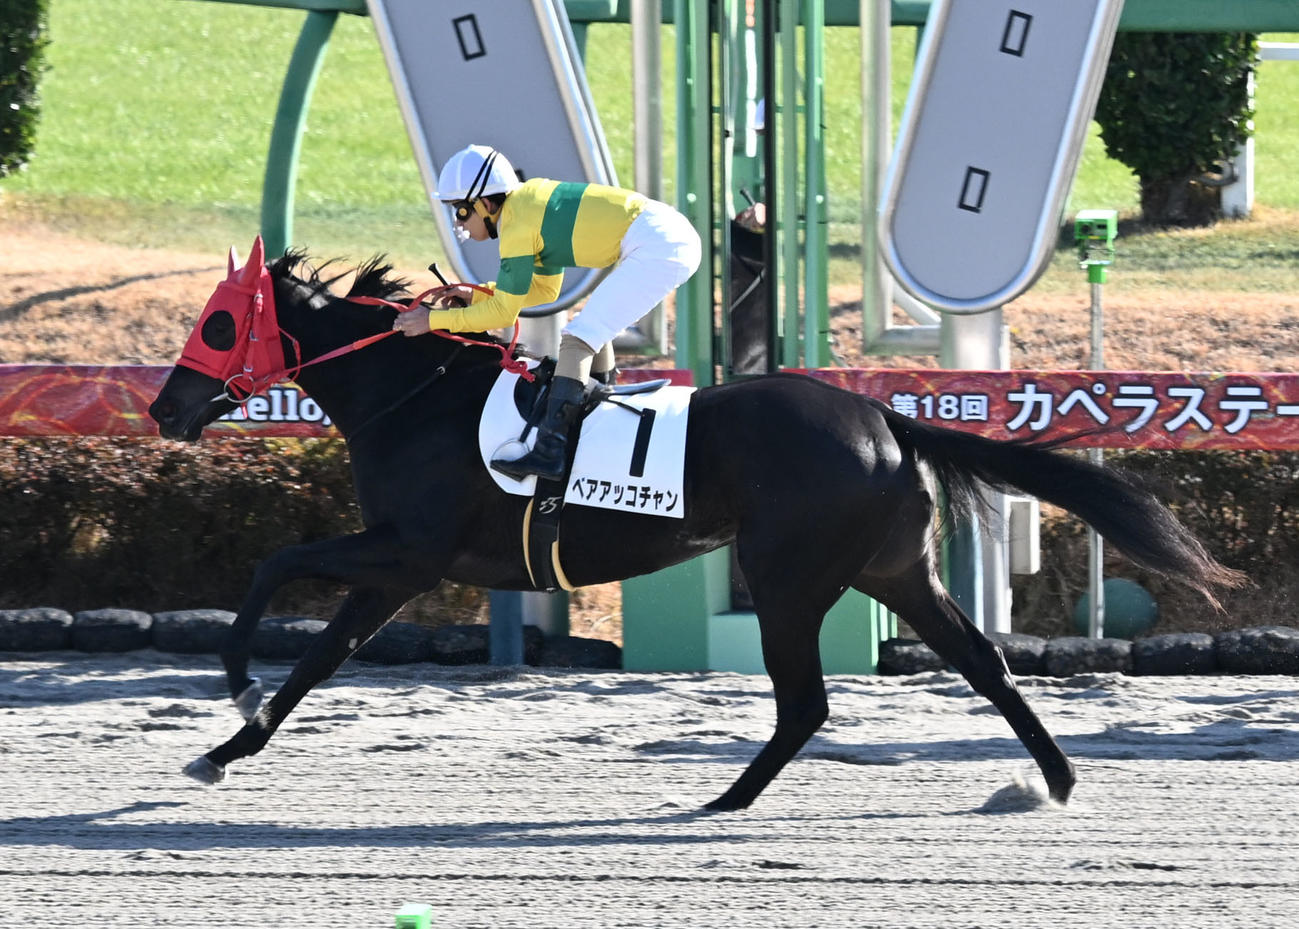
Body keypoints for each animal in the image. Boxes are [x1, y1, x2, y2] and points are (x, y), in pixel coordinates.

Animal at [148, 236, 1245, 811]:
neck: (414, 398)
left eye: (216, 323)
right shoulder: (401, 569)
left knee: (807, 701)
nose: (163, 408)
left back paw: (728, 797)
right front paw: (228, 745)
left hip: (792, 579)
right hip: (896, 569)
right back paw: (1052, 778)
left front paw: (235, 684)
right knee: (983, 662)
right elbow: (317, 659)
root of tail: (881, 418)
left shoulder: (408, 550)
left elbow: (277, 562)